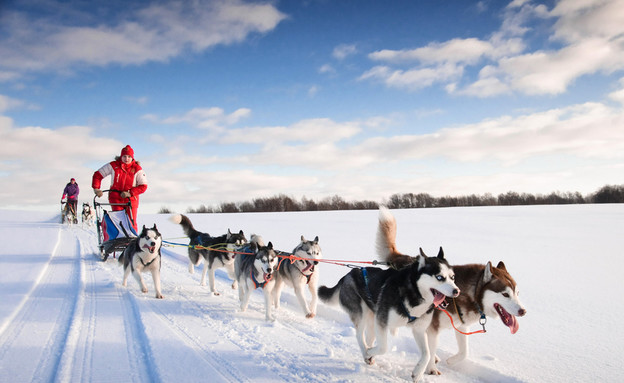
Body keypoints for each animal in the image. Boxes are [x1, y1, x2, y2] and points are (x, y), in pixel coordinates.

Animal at [322, 208, 458, 382]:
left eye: (452, 277)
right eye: (439, 277)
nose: (456, 291)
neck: (413, 294)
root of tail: (349, 274)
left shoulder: (419, 329)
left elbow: (427, 353)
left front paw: (418, 372)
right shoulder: (382, 322)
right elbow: (384, 347)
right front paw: (370, 352)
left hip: (372, 318)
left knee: (368, 336)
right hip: (361, 314)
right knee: (360, 335)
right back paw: (366, 352)